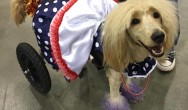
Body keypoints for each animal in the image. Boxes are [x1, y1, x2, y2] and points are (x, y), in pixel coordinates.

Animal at [10, 0, 178, 109]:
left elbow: (128, 83)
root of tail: (39, 3)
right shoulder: (115, 77)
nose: (159, 36)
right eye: (134, 21)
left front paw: (132, 93)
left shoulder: (126, 68)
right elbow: (115, 98)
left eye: (156, 15)